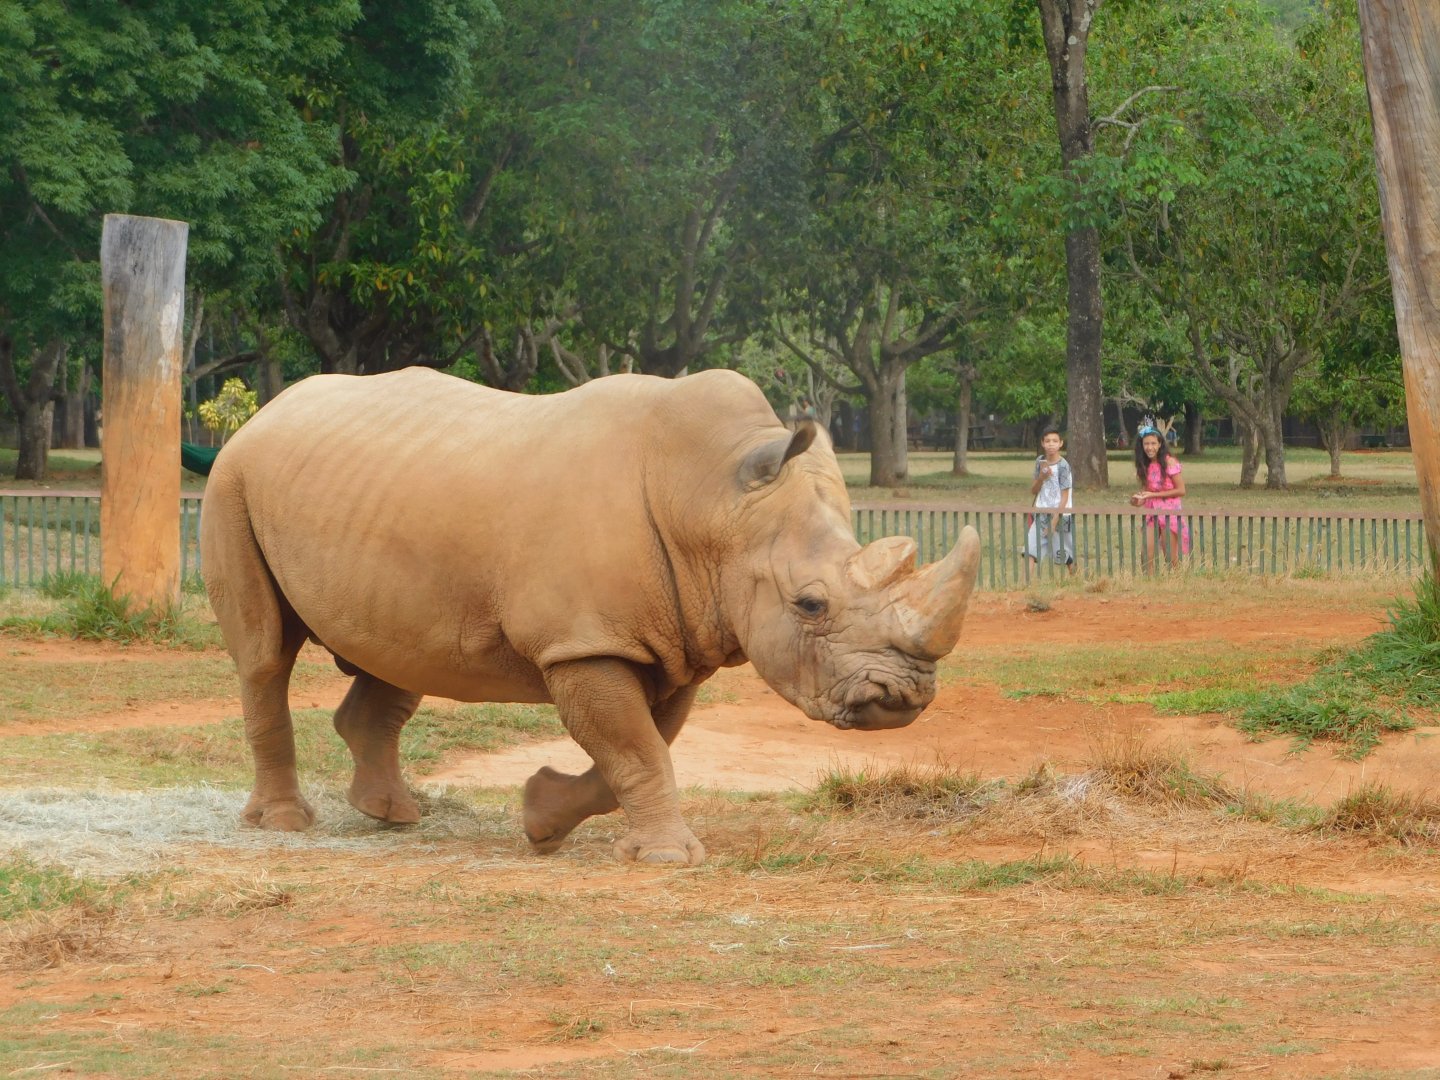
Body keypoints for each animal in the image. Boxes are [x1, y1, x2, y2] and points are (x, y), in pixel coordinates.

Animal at [201, 367, 980, 865]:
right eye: (810, 604)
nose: (903, 698)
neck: (711, 501)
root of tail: (263, 412)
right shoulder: (585, 643)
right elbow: (635, 748)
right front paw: (668, 859)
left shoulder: (671, 641)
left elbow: (638, 750)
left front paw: (541, 822)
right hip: (231, 480)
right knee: (265, 656)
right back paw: (286, 824)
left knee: (394, 653)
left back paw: (389, 815)